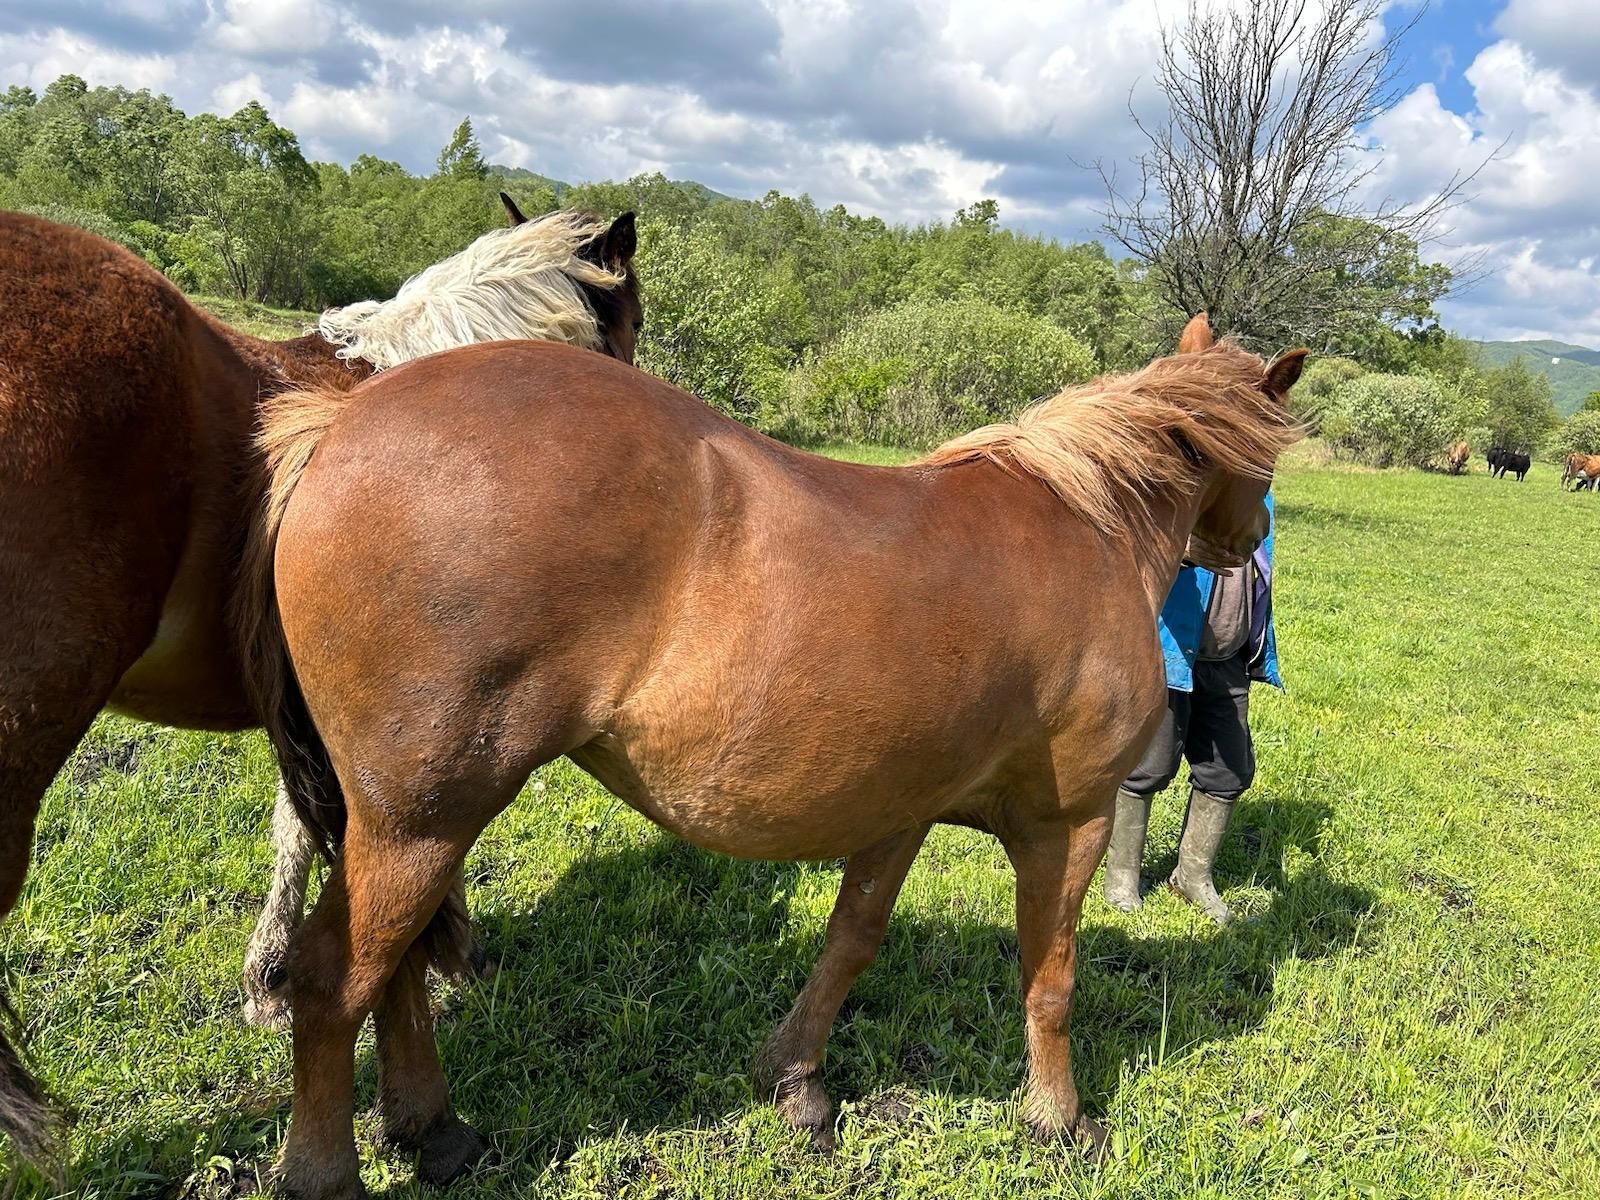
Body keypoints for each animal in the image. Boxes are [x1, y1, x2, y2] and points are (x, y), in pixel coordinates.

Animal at [243, 315, 1305, 1196]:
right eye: (1270, 456)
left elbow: (850, 942)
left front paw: (795, 1081)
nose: (1249, 539)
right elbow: (1050, 978)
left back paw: (432, 1130)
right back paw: (326, 1170)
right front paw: (1059, 1118)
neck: (1085, 524)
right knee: (334, 977)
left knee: (397, 969)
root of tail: (342, 420)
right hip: (419, 820)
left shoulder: (901, 808)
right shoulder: (1069, 823)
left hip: (407, 824)